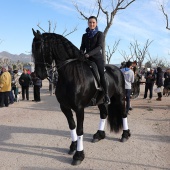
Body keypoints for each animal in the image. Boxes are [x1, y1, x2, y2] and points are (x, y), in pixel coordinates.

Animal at [31, 28, 130, 165]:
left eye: (40, 48)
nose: (39, 74)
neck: (70, 74)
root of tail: (118, 69)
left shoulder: (79, 108)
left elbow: (79, 130)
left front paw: (78, 155)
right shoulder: (64, 107)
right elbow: (72, 126)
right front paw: (73, 147)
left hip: (120, 97)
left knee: (123, 114)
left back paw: (125, 135)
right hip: (101, 101)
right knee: (104, 114)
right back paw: (99, 135)